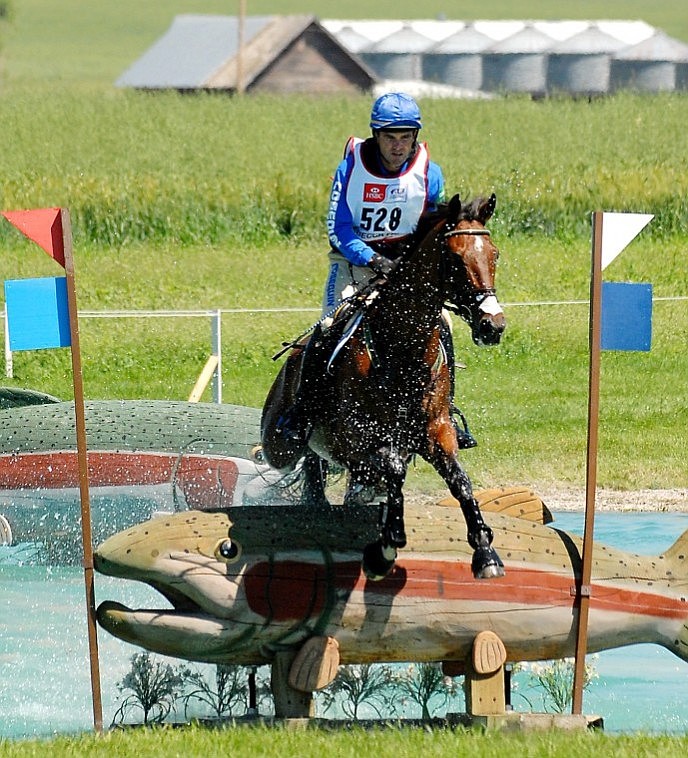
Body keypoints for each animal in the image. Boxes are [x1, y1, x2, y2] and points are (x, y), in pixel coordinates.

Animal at [260, 194, 508, 580]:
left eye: (494, 255)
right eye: (454, 258)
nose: (492, 326)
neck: (403, 352)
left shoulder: (437, 430)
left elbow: (459, 480)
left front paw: (485, 552)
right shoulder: (353, 440)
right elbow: (393, 467)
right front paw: (388, 544)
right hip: (279, 444)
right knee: (305, 459)